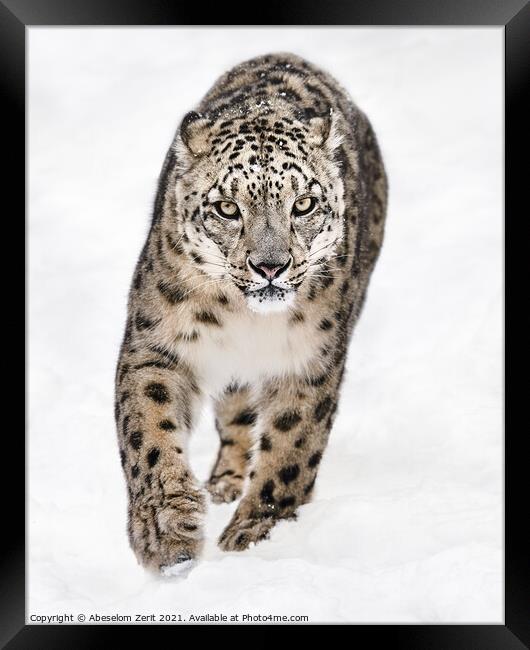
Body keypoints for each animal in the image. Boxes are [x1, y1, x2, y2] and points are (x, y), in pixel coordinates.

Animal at [113, 53, 386, 568]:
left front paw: (255, 535)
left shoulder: (310, 361)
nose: (270, 265)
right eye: (226, 207)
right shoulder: (157, 344)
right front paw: (166, 533)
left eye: (304, 204)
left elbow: (291, 448)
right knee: (235, 412)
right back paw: (221, 484)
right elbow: (149, 430)